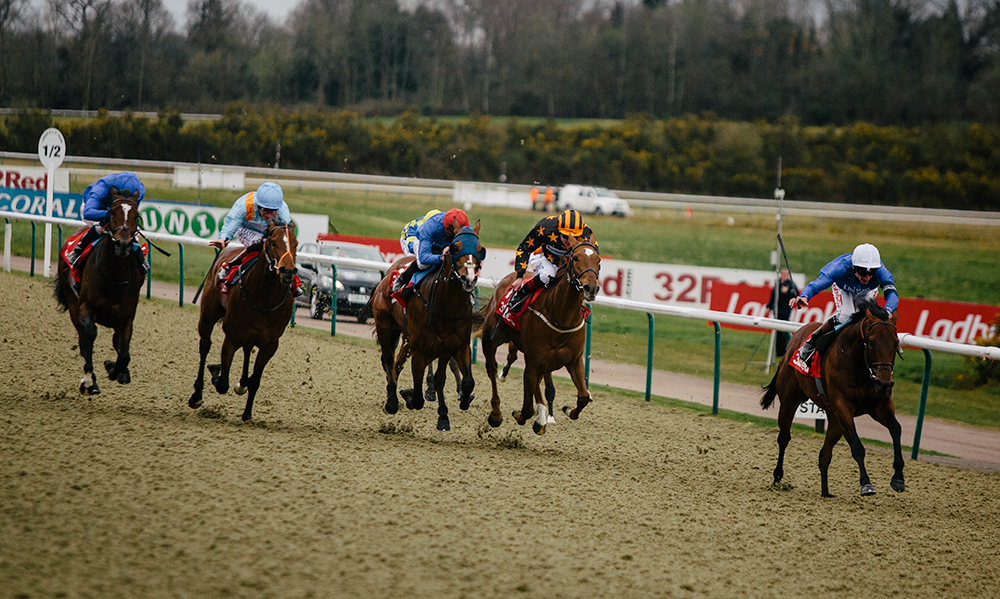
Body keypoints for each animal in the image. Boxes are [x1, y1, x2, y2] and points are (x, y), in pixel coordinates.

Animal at [54, 190, 145, 396]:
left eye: (136, 215)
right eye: (111, 213)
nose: (122, 245)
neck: (115, 276)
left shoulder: (126, 318)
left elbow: (124, 354)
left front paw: (115, 369)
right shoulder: (85, 309)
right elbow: (89, 336)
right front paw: (89, 381)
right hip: (72, 302)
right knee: (82, 339)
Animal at [188, 220, 296, 422]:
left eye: (296, 244)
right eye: (273, 242)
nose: (288, 271)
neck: (264, 297)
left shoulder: (270, 344)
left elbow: (255, 380)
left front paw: (247, 413)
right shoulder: (232, 337)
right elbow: (223, 383)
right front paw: (216, 370)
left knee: (247, 350)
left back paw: (242, 383)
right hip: (208, 315)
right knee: (205, 346)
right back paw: (197, 395)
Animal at [374, 225, 486, 432]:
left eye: (479, 249)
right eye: (455, 247)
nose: (469, 278)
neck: (446, 307)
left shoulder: (457, 347)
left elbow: (464, 381)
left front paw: (449, 411)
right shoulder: (420, 350)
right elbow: (418, 397)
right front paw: (409, 395)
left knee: (396, 363)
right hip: (385, 326)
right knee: (387, 359)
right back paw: (392, 400)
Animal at [478, 238, 600, 436]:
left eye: (598, 260)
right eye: (575, 258)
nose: (591, 287)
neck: (561, 318)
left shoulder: (573, 360)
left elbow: (583, 396)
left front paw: (567, 410)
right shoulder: (535, 360)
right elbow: (527, 408)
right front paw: (521, 415)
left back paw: (541, 416)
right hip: (492, 338)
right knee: (492, 368)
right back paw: (496, 413)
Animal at [760, 302, 912, 500]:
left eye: (895, 343)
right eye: (871, 342)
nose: (884, 383)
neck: (860, 367)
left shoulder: (879, 406)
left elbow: (896, 428)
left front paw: (898, 478)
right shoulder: (843, 407)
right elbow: (857, 446)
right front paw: (866, 483)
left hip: (834, 419)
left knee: (824, 454)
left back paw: (825, 491)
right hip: (789, 401)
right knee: (784, 437)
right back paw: (778, 476)